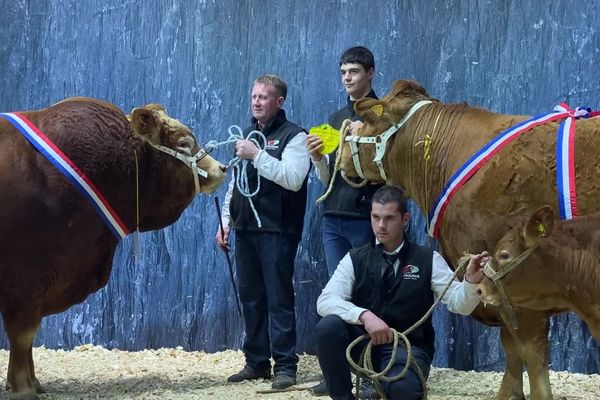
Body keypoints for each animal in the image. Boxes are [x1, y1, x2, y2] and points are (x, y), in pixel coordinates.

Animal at [0, 97, 227, 400]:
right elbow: (23, 334)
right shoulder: (26, 276)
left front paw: (32, 382)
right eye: (183, 142)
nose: (221, 168)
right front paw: (24, 387)